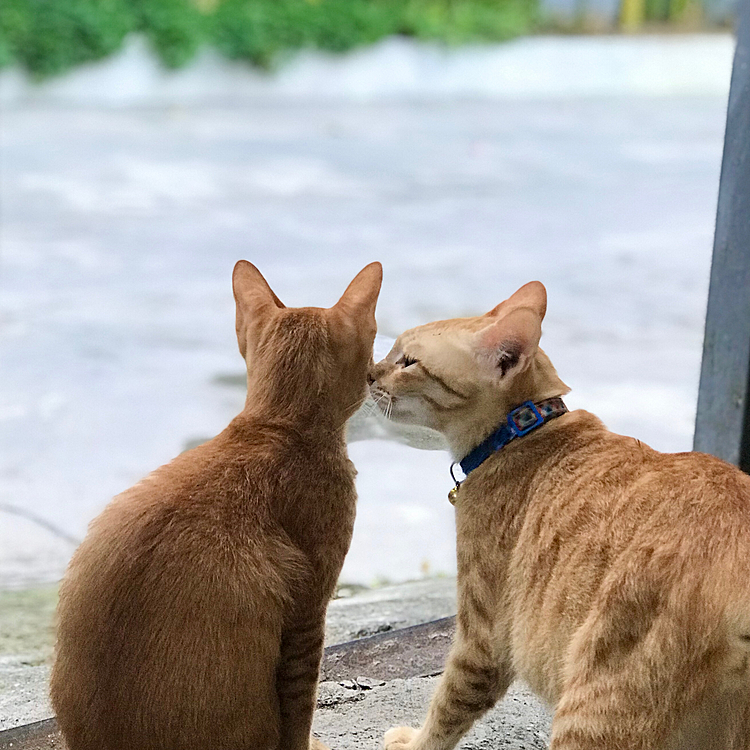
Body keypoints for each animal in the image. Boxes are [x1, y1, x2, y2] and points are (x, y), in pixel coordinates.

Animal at [374, 282, 750, 750]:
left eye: (407, 361)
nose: (369, 374)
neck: (520, 431)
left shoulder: (483, 642)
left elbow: (446, 707)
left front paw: (412, 741)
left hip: (594, 706)